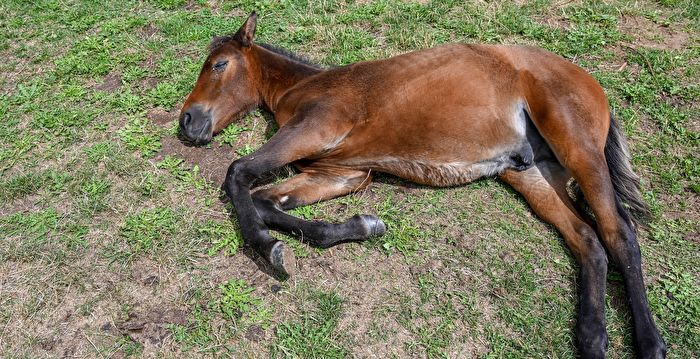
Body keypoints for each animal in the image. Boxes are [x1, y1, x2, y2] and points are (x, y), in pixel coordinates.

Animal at [178, 12, 664, 358]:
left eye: (219, 64)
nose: (187, 121)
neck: (308, 86)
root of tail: (591, 81)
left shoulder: (314, 130)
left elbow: (238, 174)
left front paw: (268, 249)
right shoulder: (336, 173)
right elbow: (267, 203)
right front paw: (363, 226)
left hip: (576, 145)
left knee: (618, 233)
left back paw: (650, 343)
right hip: (533, 173)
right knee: (587, 239)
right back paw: (592, 337)